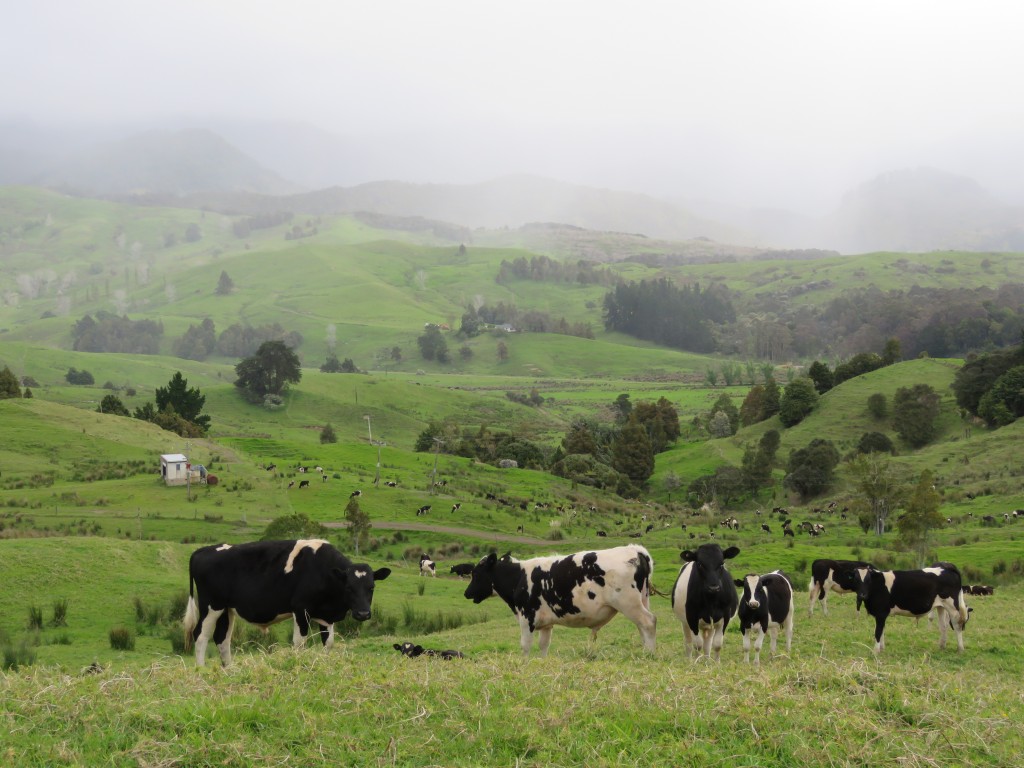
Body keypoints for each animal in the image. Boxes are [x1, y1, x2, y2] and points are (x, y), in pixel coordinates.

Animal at [182, 539, 390, 666]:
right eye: (349, 587)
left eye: (371, 587)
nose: (363, 613)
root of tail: (203, 550)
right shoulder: (301, 609)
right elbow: (300, 642)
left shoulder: (326, 616)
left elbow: (328, 643)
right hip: (211, 605)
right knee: (200, 635)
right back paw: (201, 669)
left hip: (226, 609)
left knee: (222, 639)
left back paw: (229, 670)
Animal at [463, 545, 656, 657]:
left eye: (476, 573)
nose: (466, 593)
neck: (519, 577)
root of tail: (634, 549)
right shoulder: (546, 623)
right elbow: (543, 645)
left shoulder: (527, 618)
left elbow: (525, 646)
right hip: (642, 600)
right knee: (642, 626)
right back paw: (645, 650)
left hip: (629, 603)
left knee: (648, 622)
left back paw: (649, 654)